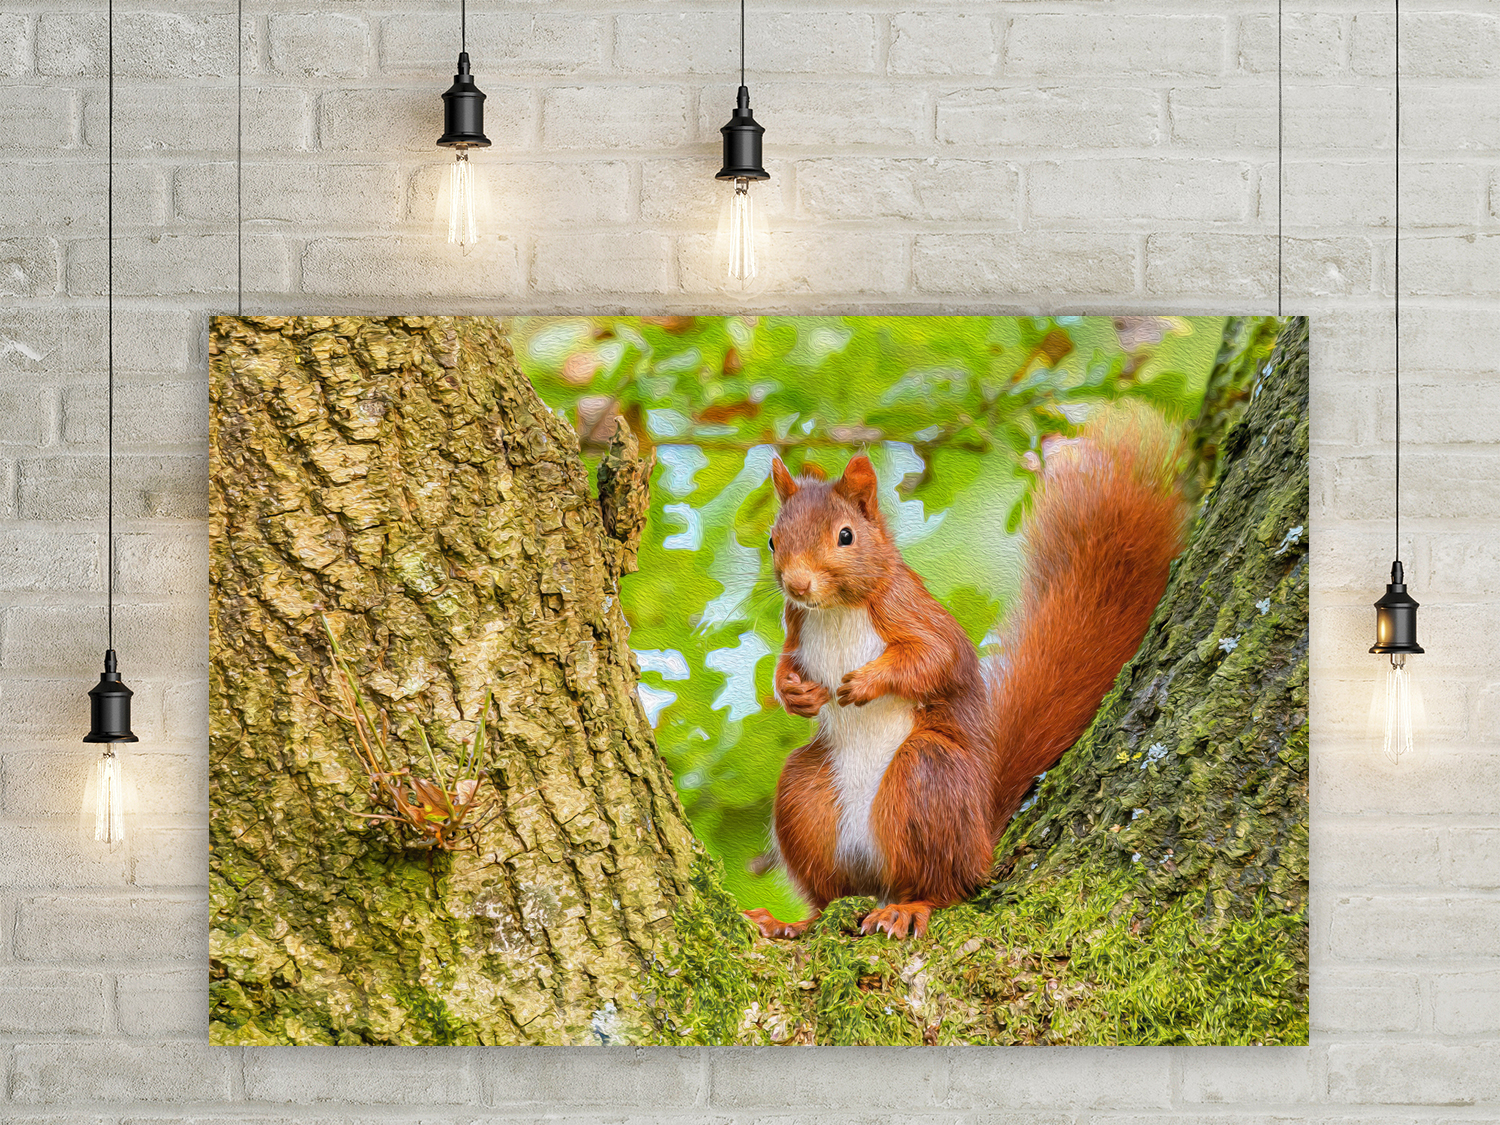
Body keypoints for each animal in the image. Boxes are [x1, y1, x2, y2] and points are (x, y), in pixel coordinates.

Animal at [743, 409, 1188, 941]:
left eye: (845, 535)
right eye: (773, 540)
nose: (797, 584)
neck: (834, 611)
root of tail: (981, 843)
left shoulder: (911, 612)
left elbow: (936, 658)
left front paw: (868, 682)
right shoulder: (797, 627)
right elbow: (785, 664)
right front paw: (795, 693)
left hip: (928, 777)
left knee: (945, 886)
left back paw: (908, 908)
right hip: (805, 798)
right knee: (828, 896)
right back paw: (791, 924)